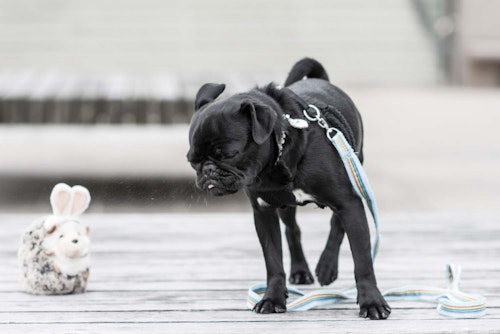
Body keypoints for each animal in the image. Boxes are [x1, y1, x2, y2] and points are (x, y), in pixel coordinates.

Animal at [188, 58, 390, 320]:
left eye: (229, 155)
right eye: (192, 160)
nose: (208, 170)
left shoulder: (349, 203)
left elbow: (362, 259)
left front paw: (372, 302)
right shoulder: (263, 213)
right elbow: (274, 261)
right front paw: (273, 298)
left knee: (336, 226)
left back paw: (327, 267)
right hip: (285, 207)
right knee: (293, 231)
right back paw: (301, 271)